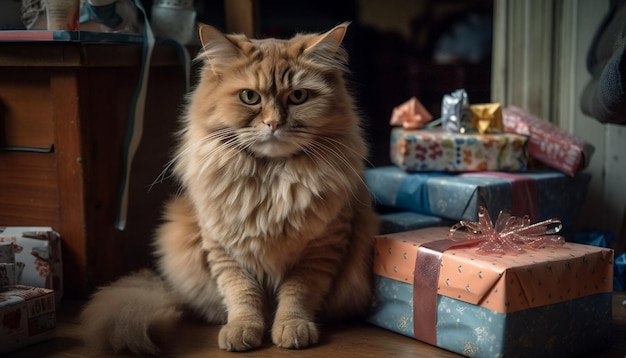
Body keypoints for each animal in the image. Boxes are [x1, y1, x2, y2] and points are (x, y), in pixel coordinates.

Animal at [80, 23, 378, 356]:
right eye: (250, 97)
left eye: (298, 96)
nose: (273, 124)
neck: (270, 180)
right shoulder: (223, 248)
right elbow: (242, 295)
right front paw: (242, 330)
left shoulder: (322, 247)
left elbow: (297, 294)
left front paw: (291, 327)